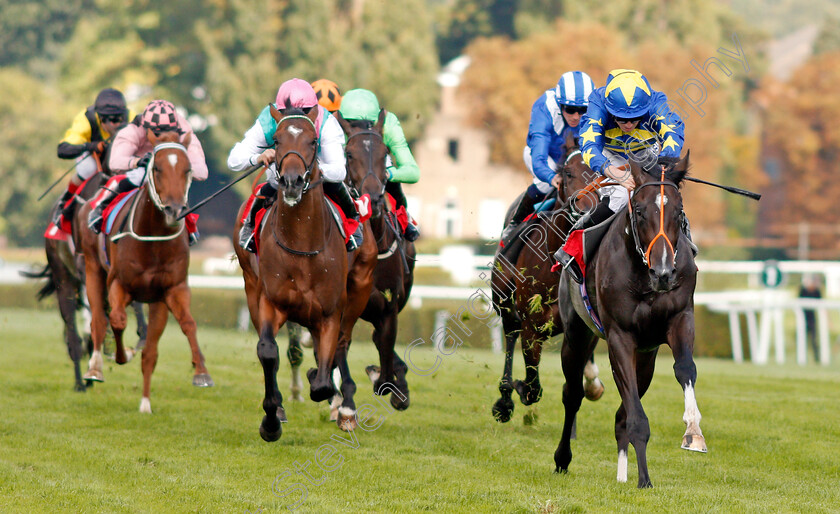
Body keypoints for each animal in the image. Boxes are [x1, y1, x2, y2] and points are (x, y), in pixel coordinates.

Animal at [78, 131, 213, 412]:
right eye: (157, 168)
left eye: (188, 169)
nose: (174, 210)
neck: (154, 240)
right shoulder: (119, 284)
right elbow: (117, 320)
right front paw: (123, 354)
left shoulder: (171, 290)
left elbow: (187, 325)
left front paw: (201, 372)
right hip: (92, 266)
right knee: (98, 320)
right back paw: (95, 368)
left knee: (150, 348)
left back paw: (144, 401)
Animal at [230, 104, 374, 440]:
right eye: (276, 140)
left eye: (312, 141)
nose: (292, 181)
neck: (302, 244)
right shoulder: (271, 302)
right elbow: (268, 352)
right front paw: (271, 419)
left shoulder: (331, 311)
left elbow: (322, 381)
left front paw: (325, 387)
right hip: (251, 285)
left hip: (359, 289)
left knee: (342, 345)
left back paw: (346, 408)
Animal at [334, 110, 416, 410]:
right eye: (348, 154)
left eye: (385, 153)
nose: (375, 197)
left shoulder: (391, 303)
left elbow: (386, 346)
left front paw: (391, 384)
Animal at [492, 131, 604, 420]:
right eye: (567, 172)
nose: (585, 209)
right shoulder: (532, 324)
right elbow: (533, 387)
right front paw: (517, 389)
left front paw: (591, 383)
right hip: (505, 302)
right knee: (510, 332)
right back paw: (505, 397)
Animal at [556, 151, 704, 484]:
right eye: (638, 210)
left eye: (678, 211)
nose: (663, 272)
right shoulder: (619, 336)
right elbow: (635, 416)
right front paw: (645, 480)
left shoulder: (680, 319)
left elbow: (685, 369)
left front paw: (693, 433)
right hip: (577, 335)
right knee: (573, 395)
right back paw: (562, 458)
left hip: (646, 356)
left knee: (621, 412)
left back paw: (622, 475)